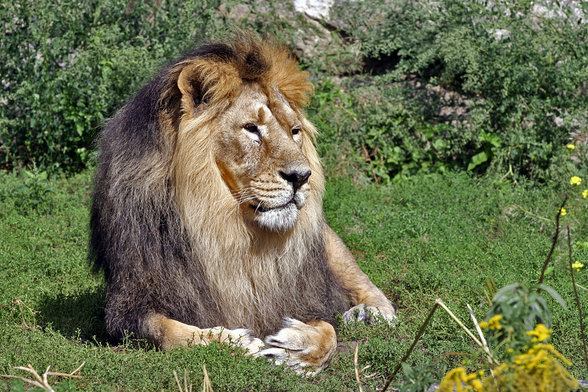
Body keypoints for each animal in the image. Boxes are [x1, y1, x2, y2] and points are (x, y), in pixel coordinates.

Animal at [89, 34, 398, 374]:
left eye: (294, 132)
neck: (230, 228)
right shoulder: (129, 304)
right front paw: (237, 342)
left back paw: (370, 313)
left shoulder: (310, 296)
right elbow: (172, 331)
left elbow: (328, 331)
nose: (302, 176)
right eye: (252, 128)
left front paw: (296, 349)